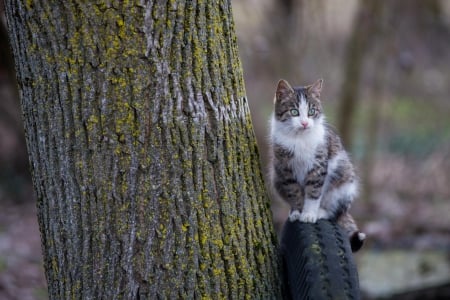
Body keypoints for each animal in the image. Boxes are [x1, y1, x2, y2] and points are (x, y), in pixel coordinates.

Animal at [268, 78, 364, 252]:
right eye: (294, 112)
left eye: (311, 111)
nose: (305, 123)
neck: (299, 139)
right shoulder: (285, 168)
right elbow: (293, 190)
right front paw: (298, 211)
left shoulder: (318, 164)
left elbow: (313, 190)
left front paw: (309, 214)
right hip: (275, 176)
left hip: (343, 181)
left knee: (336, 212)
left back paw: (321, 212)